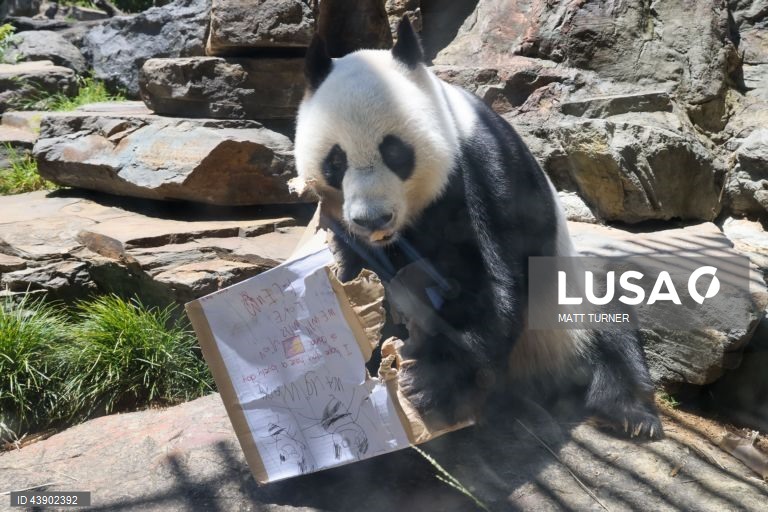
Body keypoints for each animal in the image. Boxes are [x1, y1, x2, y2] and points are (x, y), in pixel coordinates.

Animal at [294, 17, 663, 440]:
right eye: (336, 161)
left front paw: (428, 381)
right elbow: (361, 272)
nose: (373, 219)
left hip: (568, 308)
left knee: (611, 317)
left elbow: (489, 279)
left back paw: (631, 414)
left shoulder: (482, 166)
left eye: (396, 153)